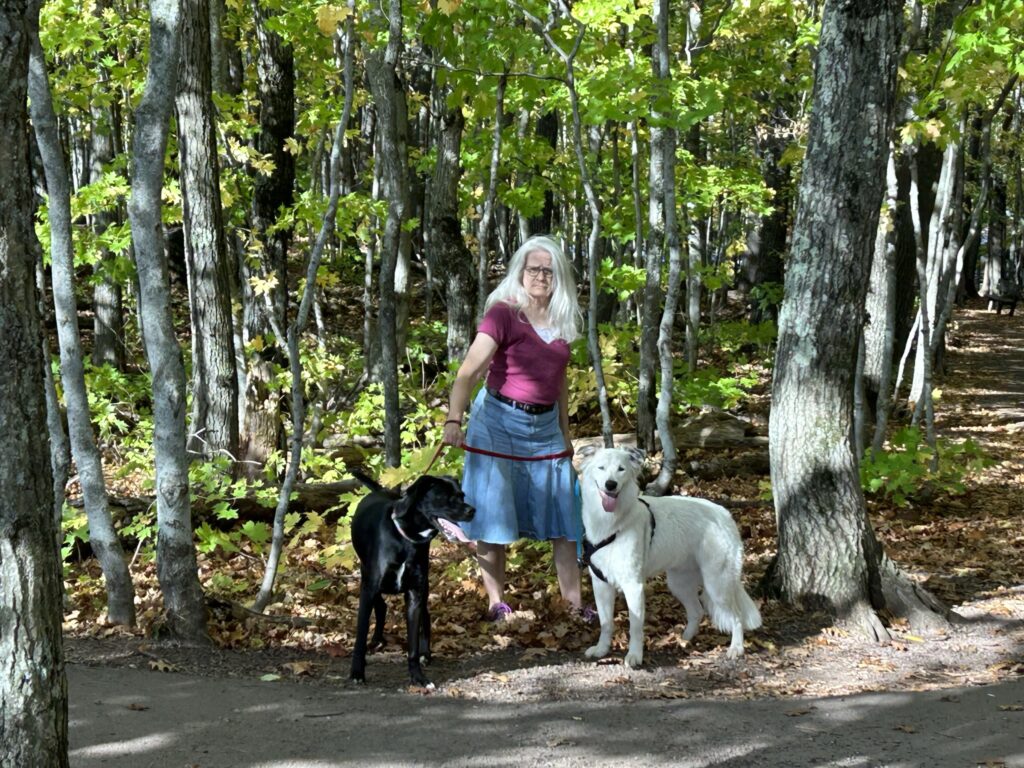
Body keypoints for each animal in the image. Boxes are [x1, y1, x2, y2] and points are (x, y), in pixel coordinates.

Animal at [348, 470, 474, 686]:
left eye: (462, 496)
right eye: (446, 497)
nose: (472, 510)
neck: (405, 538)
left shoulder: (415, 593)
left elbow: (413, 645)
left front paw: (418, 677)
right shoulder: (369, 588)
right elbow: (360, 635)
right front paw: (357, 672)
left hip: (424, 588)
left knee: (425, 615)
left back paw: (426, 654)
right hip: (367, 577)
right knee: (381, 606)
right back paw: (377, 639)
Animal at [577, 446, 761, 667]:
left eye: (621, 469)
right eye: (601, 468)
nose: (610, 485)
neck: (612, 524)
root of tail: (725, 514)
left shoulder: (633, 586)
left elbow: (635, 627)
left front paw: (635, 655)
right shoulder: (601, 584)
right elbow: (606, 623)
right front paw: (602, 649)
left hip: (717, 584)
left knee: (736, 616)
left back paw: (736, 648)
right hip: (679, 583)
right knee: (697, 611)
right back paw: (684, 640)